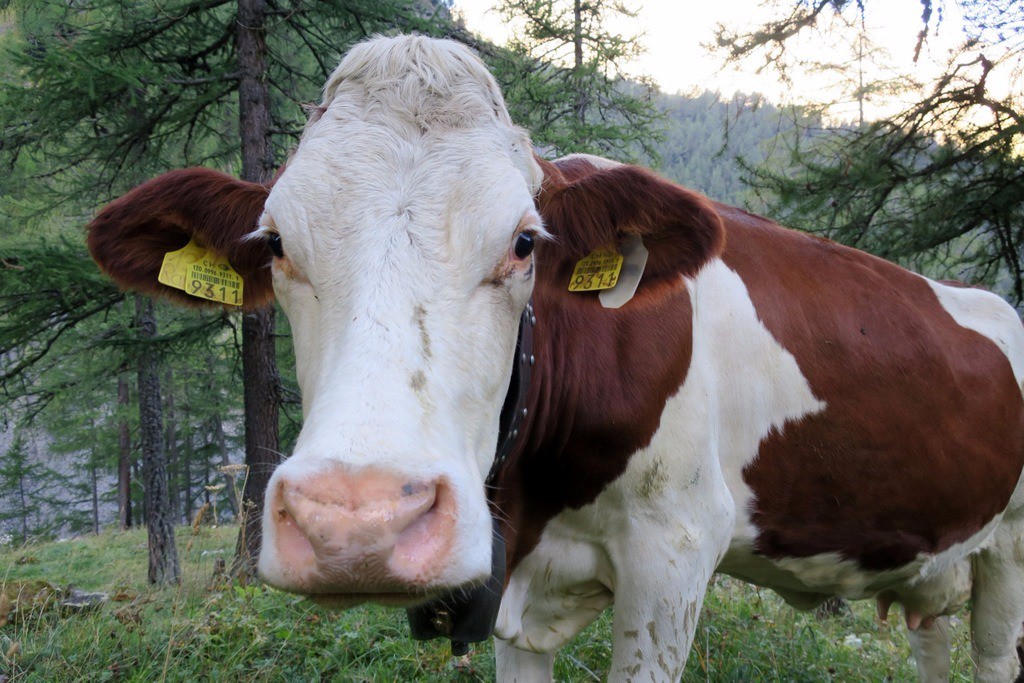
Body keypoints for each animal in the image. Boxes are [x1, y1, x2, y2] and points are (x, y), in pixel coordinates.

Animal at [86, 34, 1024, 679]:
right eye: (277, 242)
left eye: (525, 241)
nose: (357, 522)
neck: (534, 498)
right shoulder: (516, 594)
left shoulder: (675, 552)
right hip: (934, 562)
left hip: (1010, 546)